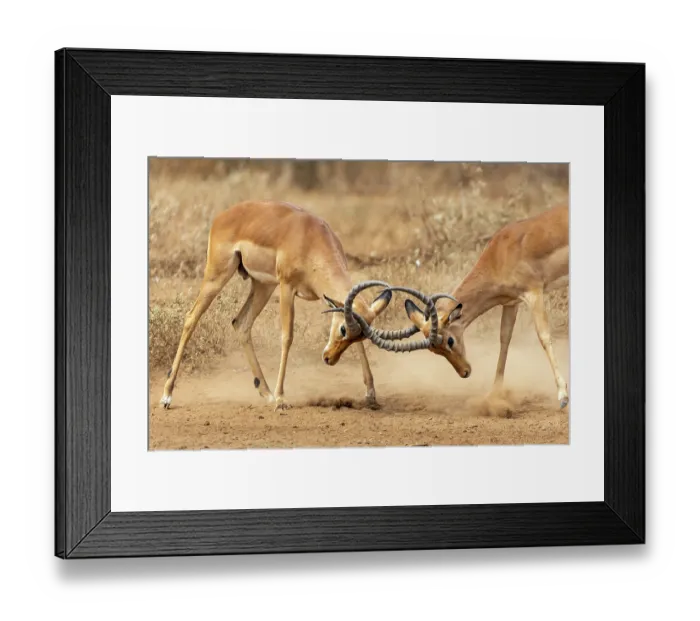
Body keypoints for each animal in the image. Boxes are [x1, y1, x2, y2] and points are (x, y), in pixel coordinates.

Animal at [158, 200, 412, 411]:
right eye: (342, 329)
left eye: (359, 336)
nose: (329, 359)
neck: (310, 238)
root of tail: (223, 216)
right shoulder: (287, 288)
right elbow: (287, 337)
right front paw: (281, 399)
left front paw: (370, 394)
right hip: (218, 276)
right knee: (191, 318)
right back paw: (167, 397)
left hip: (263, 285)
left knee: (241, 323)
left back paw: (266, 393)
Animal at [365, 205, 570, 409]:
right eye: (433, 349)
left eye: (449, 340)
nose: (464, 372)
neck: (500, 254)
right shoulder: (511, 302)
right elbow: (504, 340)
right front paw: (493, 395)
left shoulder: (534, 293)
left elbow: (544, 336)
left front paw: (563, 396)